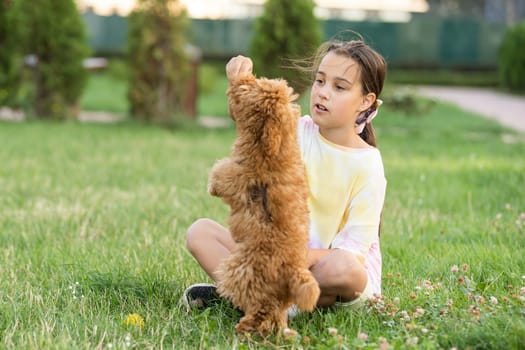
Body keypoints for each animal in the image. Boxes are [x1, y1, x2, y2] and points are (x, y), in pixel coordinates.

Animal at [209, 72, 320, 334]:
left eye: (251, 90)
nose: (243, 78)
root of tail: (293, 269)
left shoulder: (240, 177)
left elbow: (221, 173)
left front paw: (212, 185)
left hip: (240, 272)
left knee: (261, 308)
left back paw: (245, 327)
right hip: (278, 295)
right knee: (275, 313)